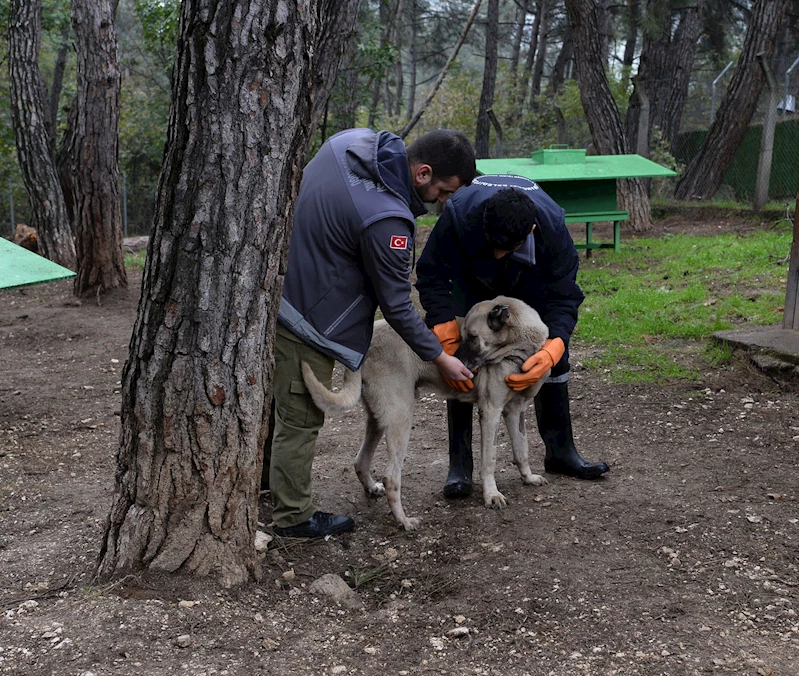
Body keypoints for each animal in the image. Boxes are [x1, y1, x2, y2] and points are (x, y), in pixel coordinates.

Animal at [300, 298, 552, 532]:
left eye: (472, 337)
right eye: (462, 336)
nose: (456, 363)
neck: (518, 349)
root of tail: (365, 345)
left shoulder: (516, 411)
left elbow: (522, 450)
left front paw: (528, 478)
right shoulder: (491, 411)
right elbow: (489, 459)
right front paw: (491, 495)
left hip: (378, 419)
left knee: (360, 460)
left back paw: (372, 489)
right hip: (401, 417)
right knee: (391, 477)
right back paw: (403, 521)